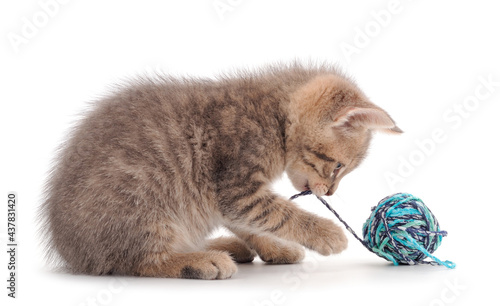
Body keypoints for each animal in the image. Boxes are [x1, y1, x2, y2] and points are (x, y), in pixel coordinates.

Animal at [38, 62, 402, 280]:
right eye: (338, 166)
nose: (330, 192)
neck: (274, 114)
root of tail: (72, 253)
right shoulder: (236, 187)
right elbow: (280, 213)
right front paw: (325, 233)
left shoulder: (226, 197)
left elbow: (254, 223)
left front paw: (275, 247)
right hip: (144, 202)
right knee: (140, 261)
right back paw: (200, 260)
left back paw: (221, 246)